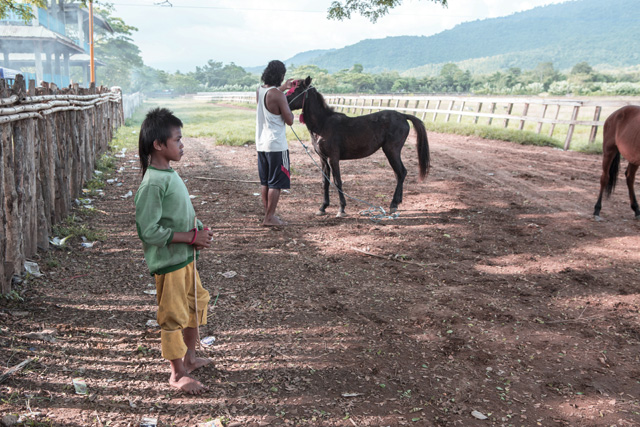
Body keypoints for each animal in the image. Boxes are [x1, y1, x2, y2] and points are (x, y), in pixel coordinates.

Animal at [286, 77, 430, 217]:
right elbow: (325, 182)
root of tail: (403, 115)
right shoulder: (323, 159)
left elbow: (337, 181)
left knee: (401, 173)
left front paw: (341, 209)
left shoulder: (333, 158)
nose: (283, 102)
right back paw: (397, 203)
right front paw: (322, 207)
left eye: (296, 90)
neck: (323, 124)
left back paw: (393, 204)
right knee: (398, 174)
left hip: (392, 151)